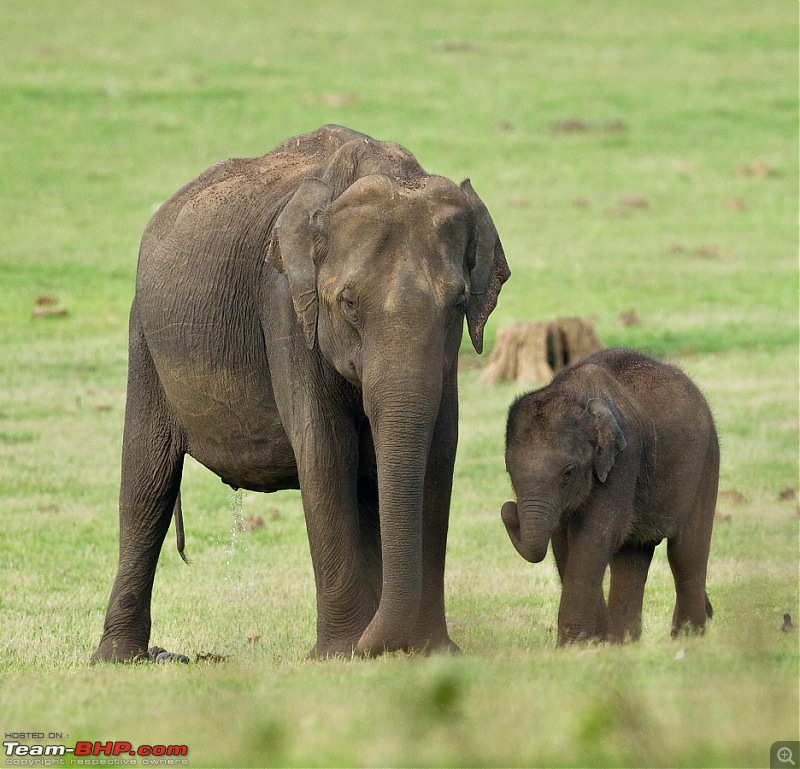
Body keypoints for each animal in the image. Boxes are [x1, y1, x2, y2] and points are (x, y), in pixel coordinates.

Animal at [90, 124, 510, 660]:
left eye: (458, 302)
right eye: (347, 302)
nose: (375, 648)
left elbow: (438, 453)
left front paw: (431, 651)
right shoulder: (285, 308)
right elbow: (326, 451)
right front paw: (338, 654)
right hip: (144, 336)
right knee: (146, 483)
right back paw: (121, 658)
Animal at [500, 346, 720, 640]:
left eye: (568, 472)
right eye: (509, 472)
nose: (508, 508)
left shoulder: (624, 460)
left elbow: (594, 537)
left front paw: (574, 644)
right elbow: (564, 543)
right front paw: (593, 641)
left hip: (707, 461)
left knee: (686, 553)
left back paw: (687, 638)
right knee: (631, 557)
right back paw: (624, 642)